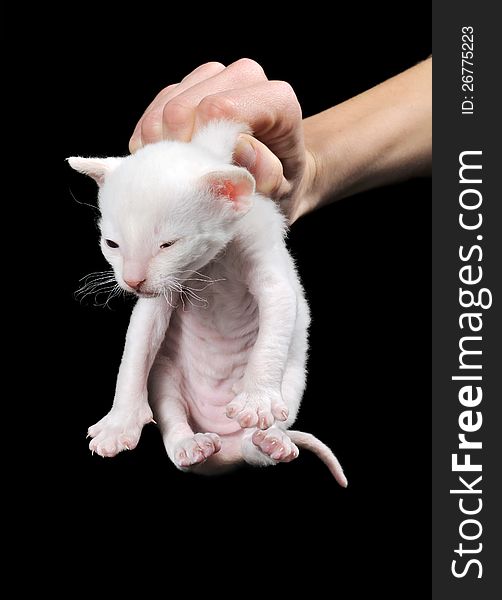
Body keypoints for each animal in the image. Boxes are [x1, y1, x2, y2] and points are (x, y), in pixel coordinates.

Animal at [67, 119, 346, 486]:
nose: (132, 281)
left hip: (292, 382)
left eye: (168, 244)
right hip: (166, 378)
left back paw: (271, 441)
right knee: (174, 426)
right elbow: (136, 349)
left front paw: (256, 401)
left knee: (255, 448)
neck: (213, 263)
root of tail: (225, 451)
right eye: (111, 244)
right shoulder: (161, 295)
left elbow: (276, 314)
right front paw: (119, 423)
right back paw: (191, 446)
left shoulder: (266, 259)